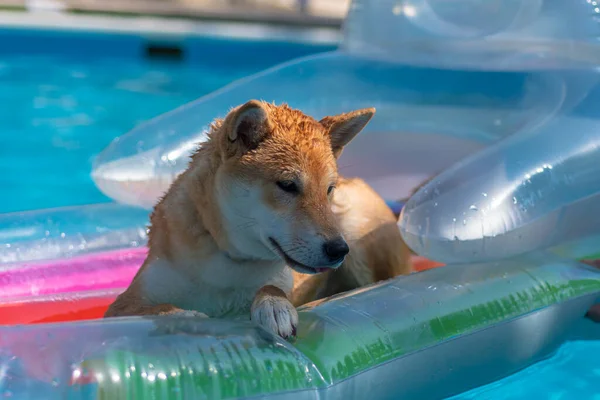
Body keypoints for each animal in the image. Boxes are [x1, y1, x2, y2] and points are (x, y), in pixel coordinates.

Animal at [104, 100, 412, 338]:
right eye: (287, 185)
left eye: (328, 190)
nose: (338, 250)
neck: (228, 259)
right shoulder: (123, 304)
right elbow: (159, 309)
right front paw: (187, 316)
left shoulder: (280, 277)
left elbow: (271, 287)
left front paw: (274, 306)